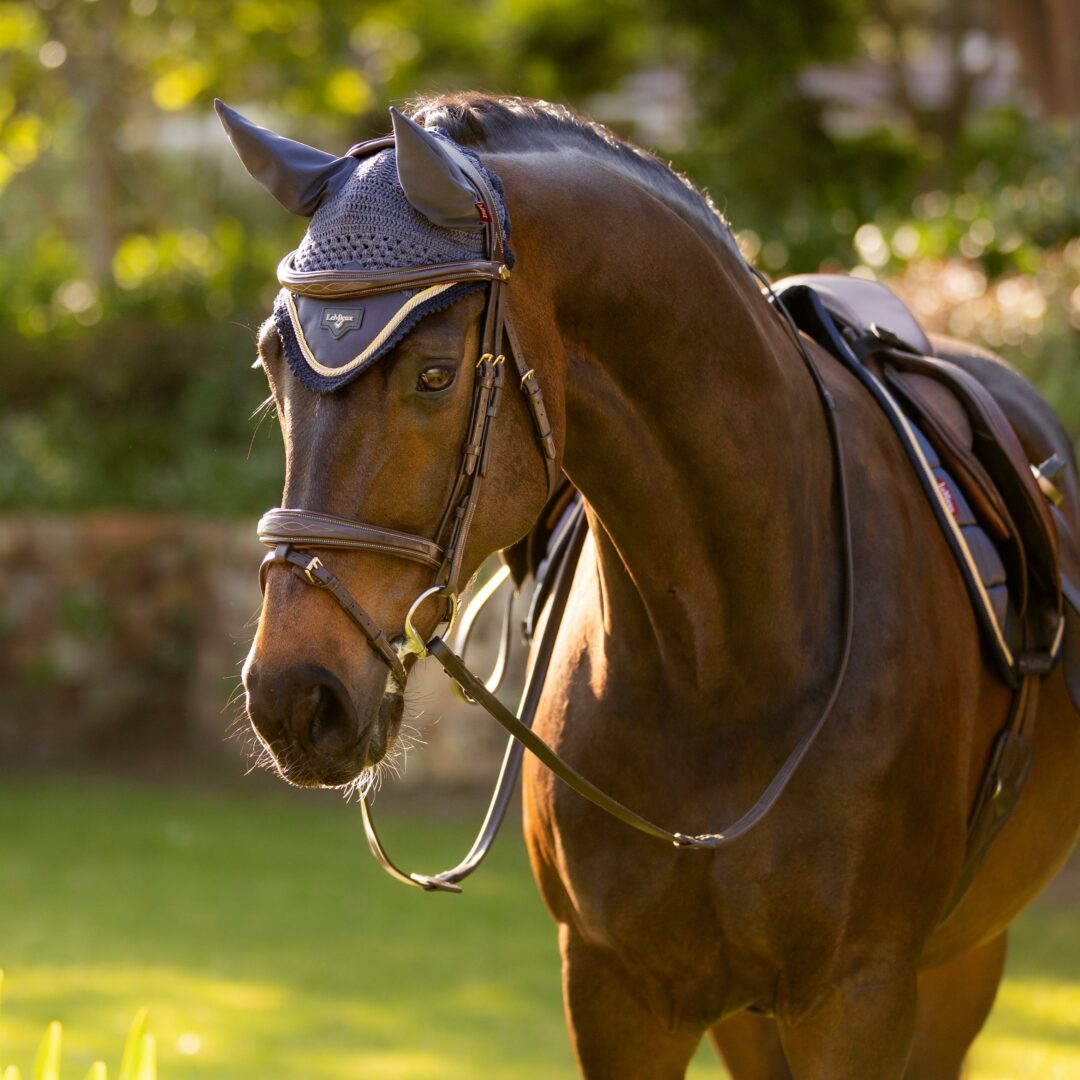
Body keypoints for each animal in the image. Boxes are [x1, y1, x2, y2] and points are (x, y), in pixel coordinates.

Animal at [230, 95, 1080, 1080]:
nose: (295, 697)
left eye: (434, 374)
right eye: (272, 362)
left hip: (960, 966)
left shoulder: (860, 996)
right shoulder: (617, 993)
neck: (722, 659)